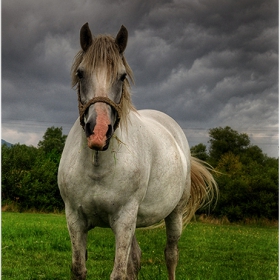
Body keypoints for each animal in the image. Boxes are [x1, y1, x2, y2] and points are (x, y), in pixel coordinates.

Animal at [58, 23, 218, 278]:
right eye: (81, 73)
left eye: (122, 76)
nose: (98, 132)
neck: (97, 166)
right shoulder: (74, 218)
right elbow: (79, 269)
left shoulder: (124, 219)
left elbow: (119, 273)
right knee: (135, 259)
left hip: (173, 215)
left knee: (171, 255)